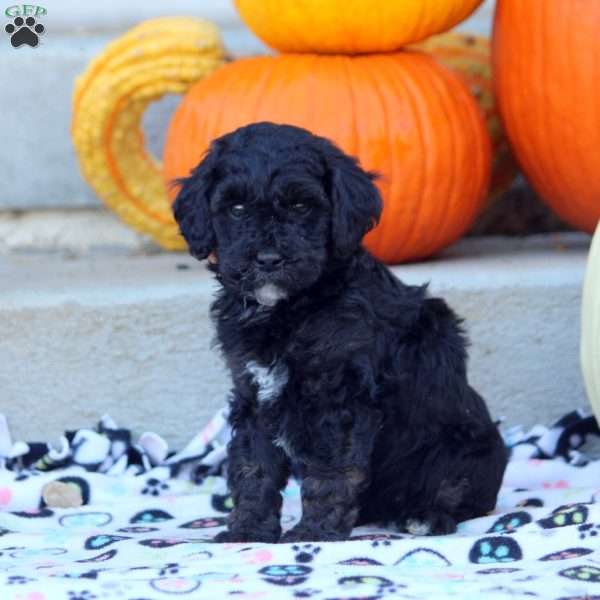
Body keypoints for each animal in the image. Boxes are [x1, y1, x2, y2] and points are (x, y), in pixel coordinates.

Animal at [173, 122, 506, 544]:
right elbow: (253, 464)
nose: (268, 260)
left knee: (456, 492)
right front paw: (248, 530)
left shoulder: (338, 394)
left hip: (458, 449)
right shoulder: (252, 392)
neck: (290, 309)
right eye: (236, 209)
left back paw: (425, 516)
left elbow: (331, 472)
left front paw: (313, 534)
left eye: (301, 206)